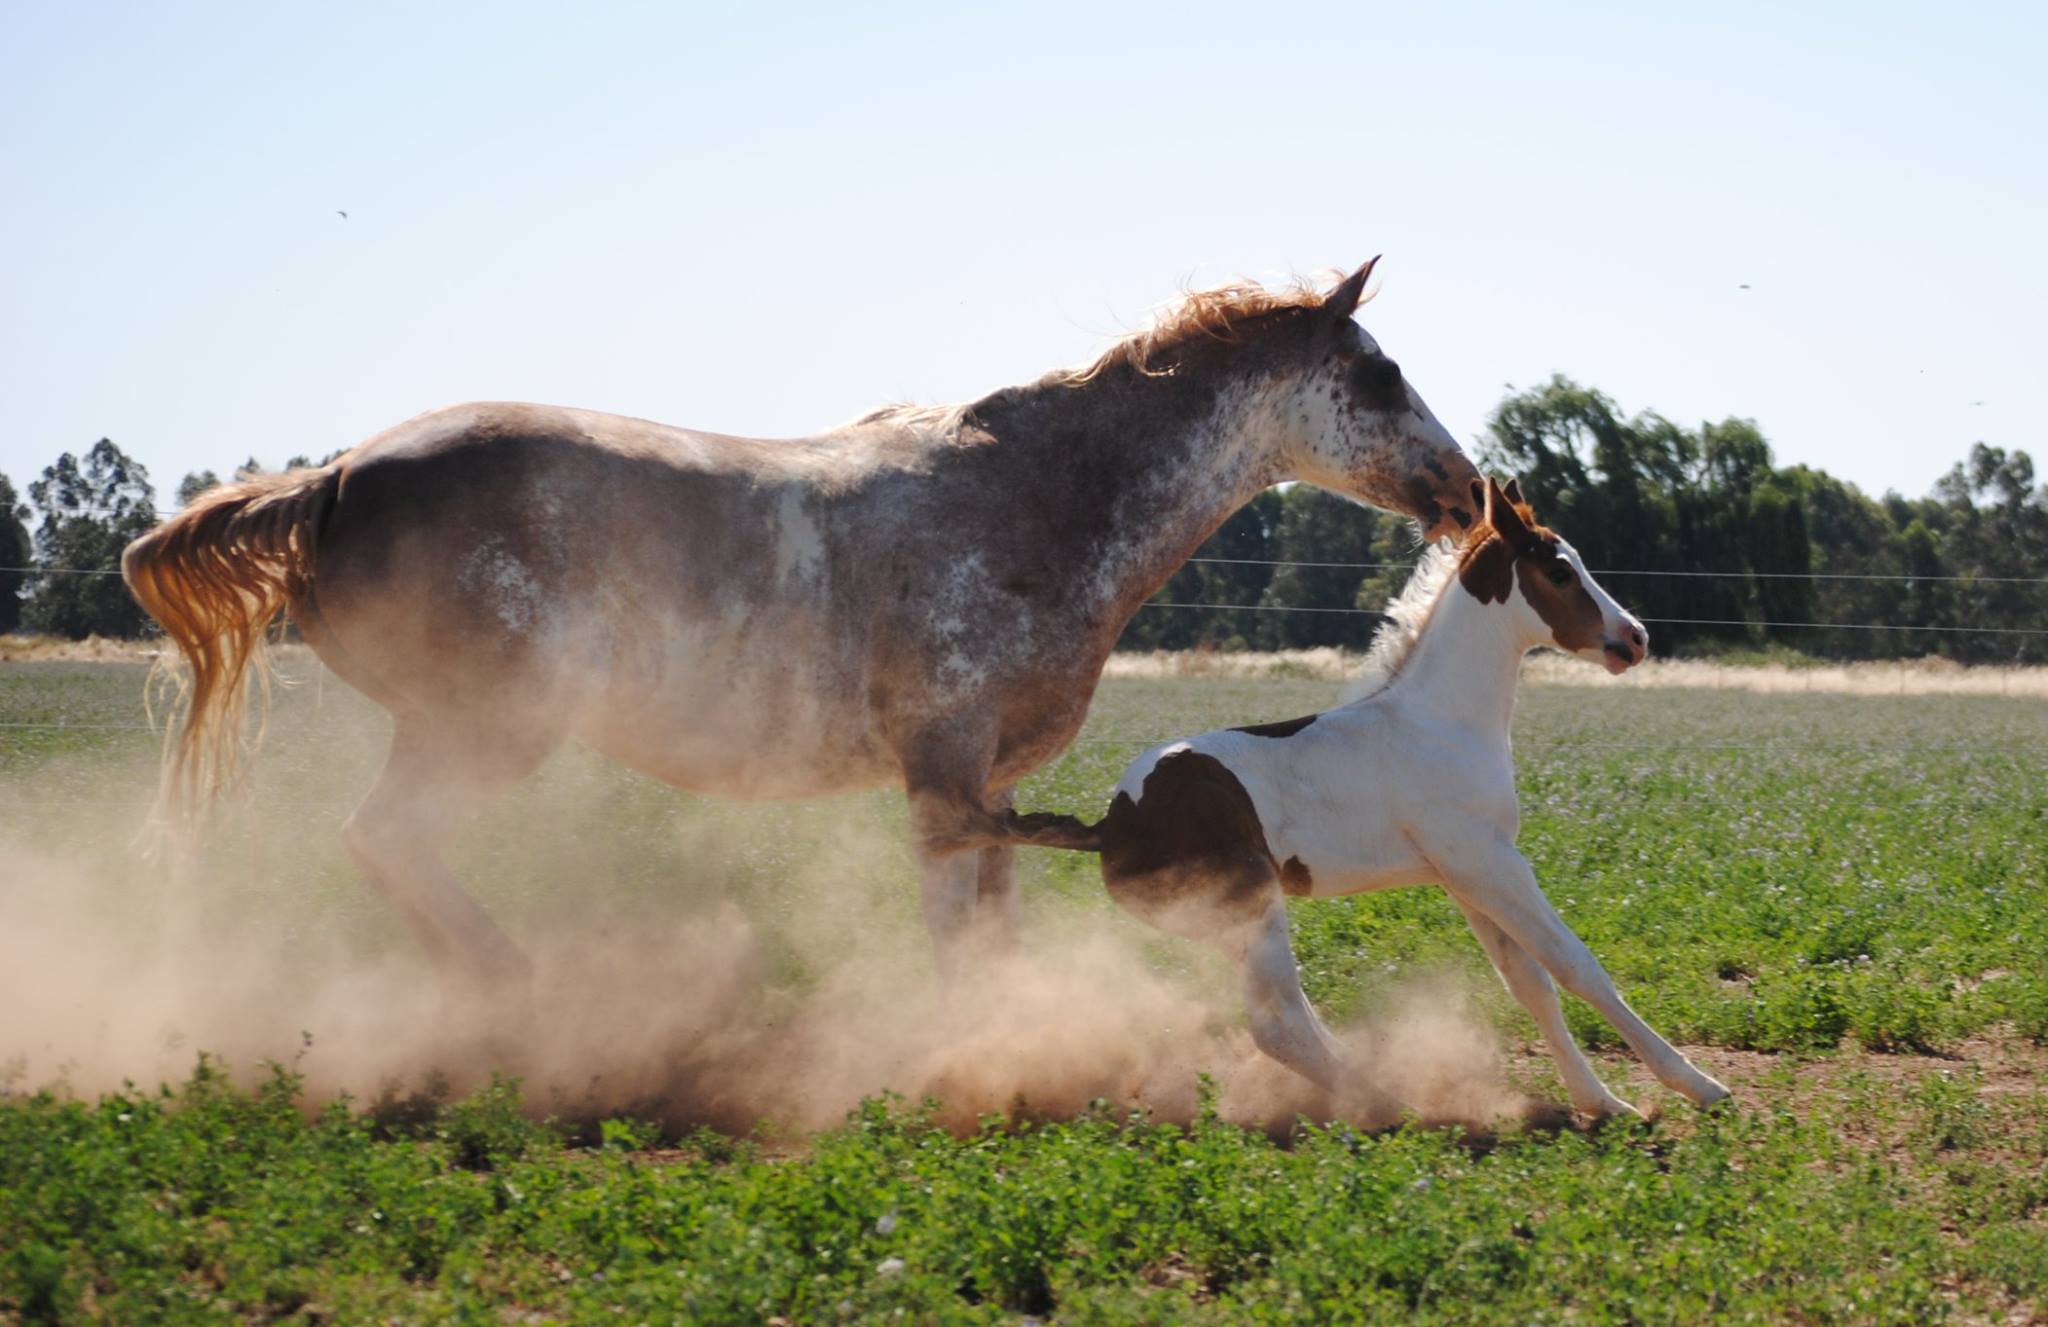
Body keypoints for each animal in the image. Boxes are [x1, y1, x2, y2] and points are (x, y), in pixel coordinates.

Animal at [119, 262, 1482, 982]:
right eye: (1376, 375)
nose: (1467, 492)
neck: (1035, 501)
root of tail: (332, 483)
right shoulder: (942, 775)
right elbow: (954, 938)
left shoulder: (990, 783)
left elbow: (991, 932)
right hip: (485, 731)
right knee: (386, 841)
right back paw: (530, 996)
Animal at [1007, 477, 1728, 1122]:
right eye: (1558, 570)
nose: (1634, 638)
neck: (1440, 721)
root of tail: (1110, 824)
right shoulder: (1490, 861)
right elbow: (1578, 965)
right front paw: (1697, 1085)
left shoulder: (1466, 876)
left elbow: (1532, 983)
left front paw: (1602, 1101)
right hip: (1250, 910)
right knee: (1279, 1026)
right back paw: (1389, 1104)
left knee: (1294, 1019)